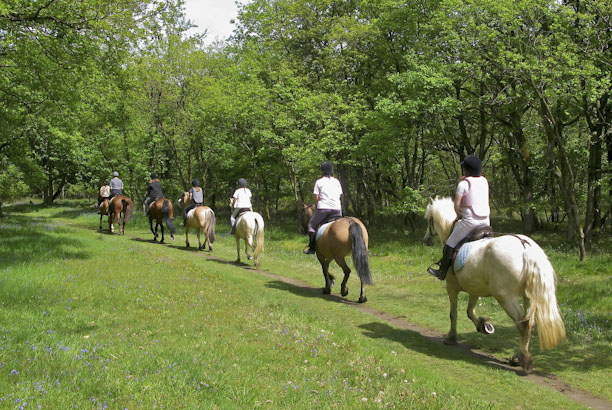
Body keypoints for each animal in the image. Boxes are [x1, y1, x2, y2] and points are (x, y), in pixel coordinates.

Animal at [424, 196, 568, 372]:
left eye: (429, 220)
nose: (426, 240)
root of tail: (525, 248)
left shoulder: (451, 287)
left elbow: (454, 313)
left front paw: (451, 337)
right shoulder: (475, 288)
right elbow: (469, 311)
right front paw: (483, 326)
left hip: (505, 297)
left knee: (523, 323)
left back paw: (523, 359)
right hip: (528, 296)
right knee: (530, 325)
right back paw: (517, 357)